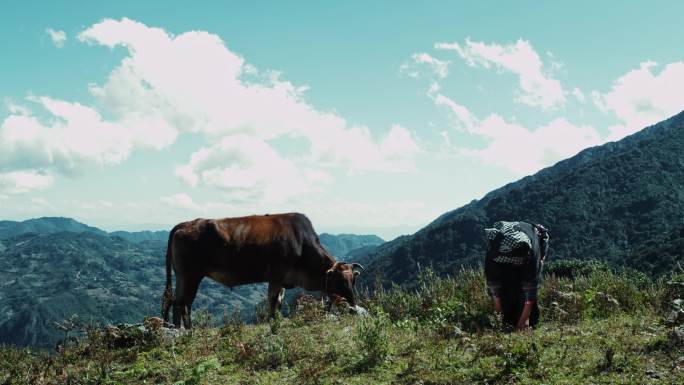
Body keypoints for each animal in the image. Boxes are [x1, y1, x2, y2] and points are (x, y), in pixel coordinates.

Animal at [161, 212, 364, 328]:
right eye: (340, 281)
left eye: (353, 281)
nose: (353, 305)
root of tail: (185, 224)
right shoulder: (276, 275)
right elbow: (273, 301)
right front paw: (272, 322)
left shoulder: (283, 280)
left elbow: (279, 301)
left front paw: (278, 320)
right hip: (189, 275)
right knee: (181, 303)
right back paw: (184, 331)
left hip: (184, 276)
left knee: (180, 303)